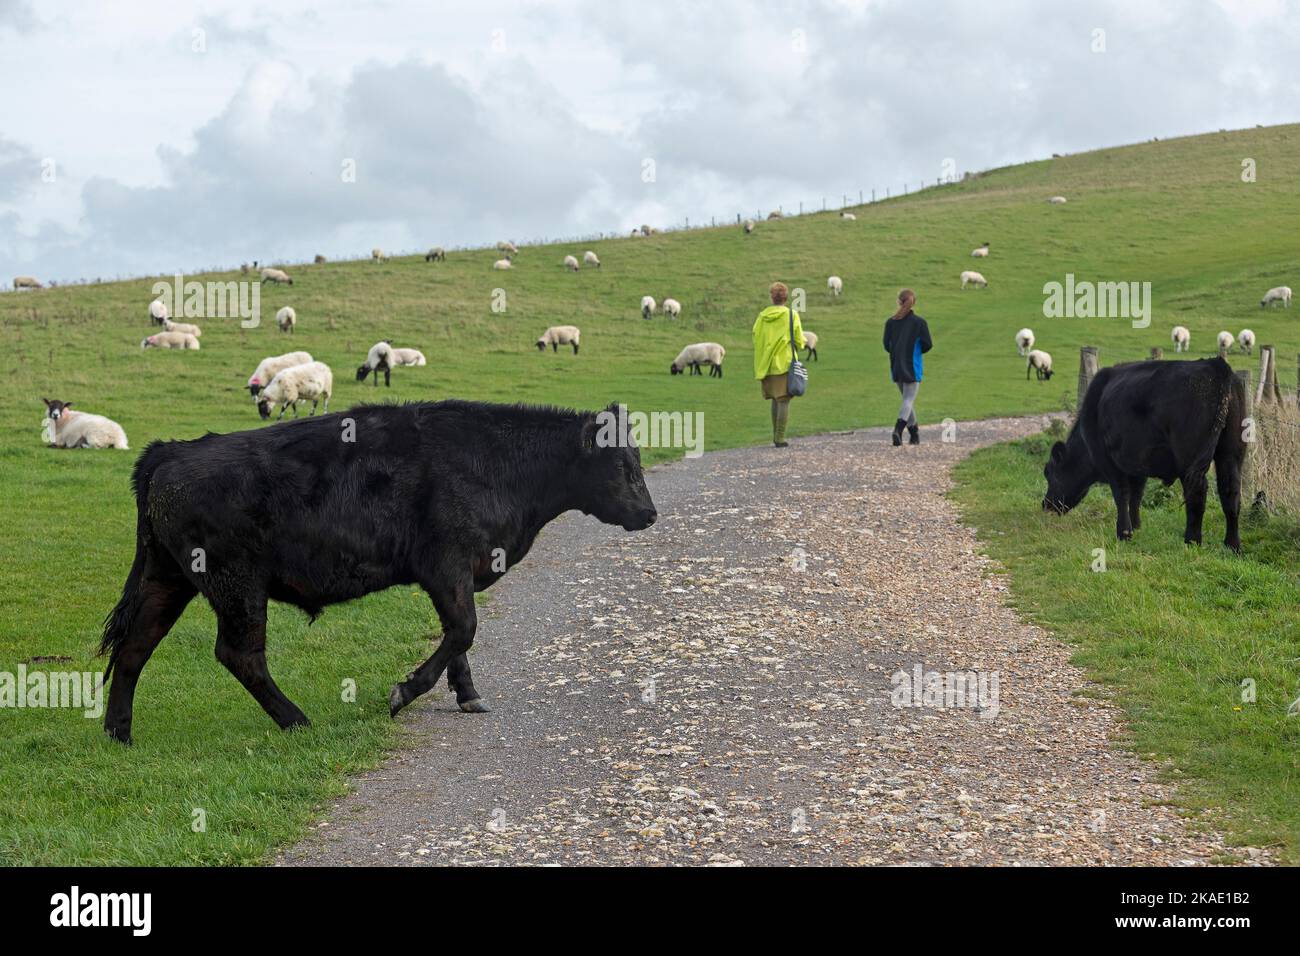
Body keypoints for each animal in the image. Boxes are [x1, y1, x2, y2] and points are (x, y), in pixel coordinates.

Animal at [98, 400, 660, 743]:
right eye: (622, 465)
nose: (650, 513)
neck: (493, 462)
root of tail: (170, 451)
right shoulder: (448, 566)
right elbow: (464, 629)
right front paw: (404, 693)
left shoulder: (450, 575)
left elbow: (458, 635)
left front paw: (468, 695)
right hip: (237, 587)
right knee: (239, 655)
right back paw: (298, 720)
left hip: (168, 580)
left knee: (134, 649)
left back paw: (119, 732)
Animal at [1040, 358, 1242, 554]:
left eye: (1049, 473)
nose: (1045, 504)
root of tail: (1215, 364)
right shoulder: (1137, 464)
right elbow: (1136, 495)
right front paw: (1136, 526)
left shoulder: (1109, 462)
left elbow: (1122, 495)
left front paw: (1124, 533)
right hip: (1231, 453)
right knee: (1230, 493)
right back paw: (1232, 546)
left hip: (1189, 457)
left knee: (1197, 492)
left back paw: (1192, 541)